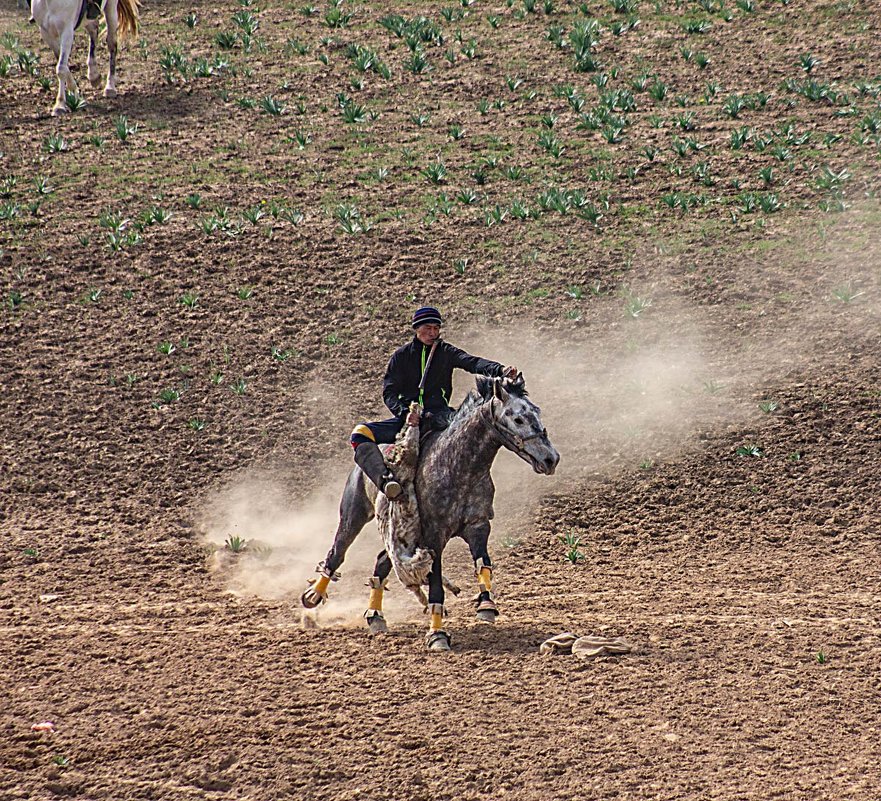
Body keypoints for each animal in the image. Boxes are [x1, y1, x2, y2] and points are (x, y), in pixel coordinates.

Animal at [302, 376, 556, 648]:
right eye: (518, 419)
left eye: (537, 411)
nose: (551, 459)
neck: (458, 467)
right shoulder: (434, 537)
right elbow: (436, 584)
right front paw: (437, 635)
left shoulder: (478, 525)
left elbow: (482, 562)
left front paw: (486, 605)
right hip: (354, 513)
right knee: (338, 552)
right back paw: (313, 595)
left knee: (382, 561)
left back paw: (376, 616)